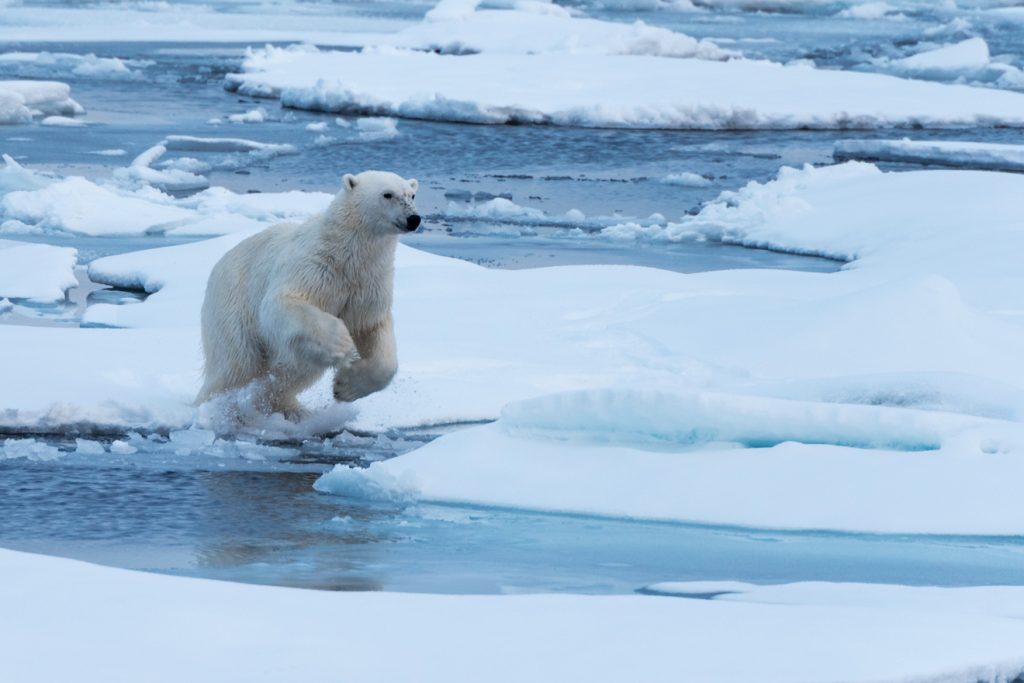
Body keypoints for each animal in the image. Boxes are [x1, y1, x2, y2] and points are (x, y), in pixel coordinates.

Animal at [195, 167, 419, 419]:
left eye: (411, 195)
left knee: (293, 371)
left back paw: (290, 409)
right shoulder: (314, 266)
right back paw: (212, 411)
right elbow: (283, 302)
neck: (347, 254)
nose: (414, 218)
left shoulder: (369, 284)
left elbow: (374, 330)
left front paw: (345, 387)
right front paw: (343, 344)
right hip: (233, 306)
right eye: (387, 194)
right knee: (235, 367)